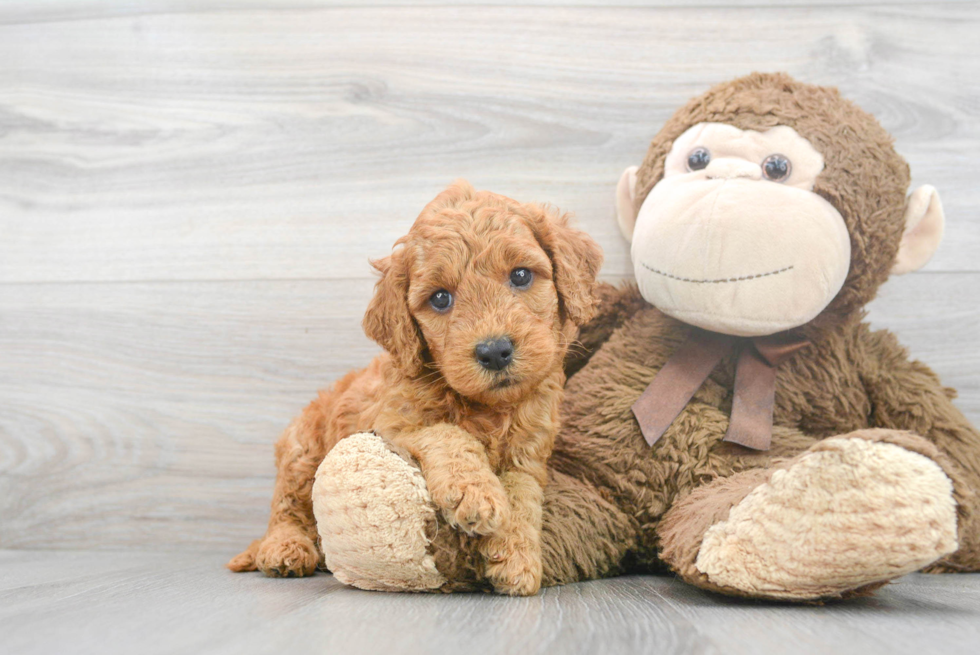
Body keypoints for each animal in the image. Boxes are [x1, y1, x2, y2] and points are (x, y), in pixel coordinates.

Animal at [227, 182, 600, 596]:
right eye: (440, 298)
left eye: (521, 275)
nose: (494, 351)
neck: (487, 407)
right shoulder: (392, 423)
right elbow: (448, 433)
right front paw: (476, 493)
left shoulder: (529, 452)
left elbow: (522, 495)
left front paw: (517, 558)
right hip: (301, 448)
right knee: (287, 507)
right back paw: (284, 549)